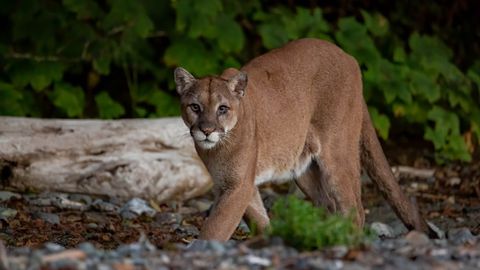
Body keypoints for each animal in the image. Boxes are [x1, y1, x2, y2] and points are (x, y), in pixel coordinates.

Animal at [174, 38, 434, 240]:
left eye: (222, 109)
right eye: (195, 107)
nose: (207, 130)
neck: (216, 148)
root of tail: (347, 56)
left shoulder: (238, 186)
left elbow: (215, 229)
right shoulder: (234, 184)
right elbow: (258, 218)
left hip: (337, 153)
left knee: (355, 209)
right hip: (303, 169)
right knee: (330, 205)